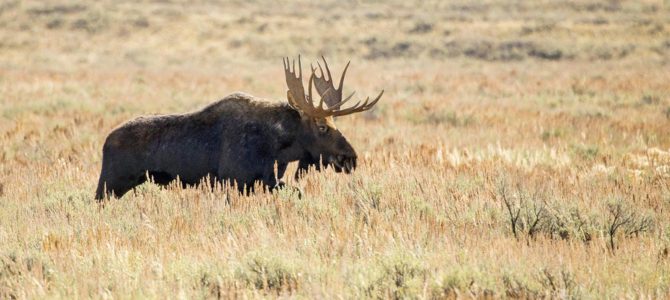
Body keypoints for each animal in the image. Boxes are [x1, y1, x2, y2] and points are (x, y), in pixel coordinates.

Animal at [97, 56, 386, 199]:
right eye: (322, 127)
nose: (350, 157)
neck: (277, 147)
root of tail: (105, 142)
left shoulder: (269, 180)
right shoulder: (235, 181)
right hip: (109, 184)